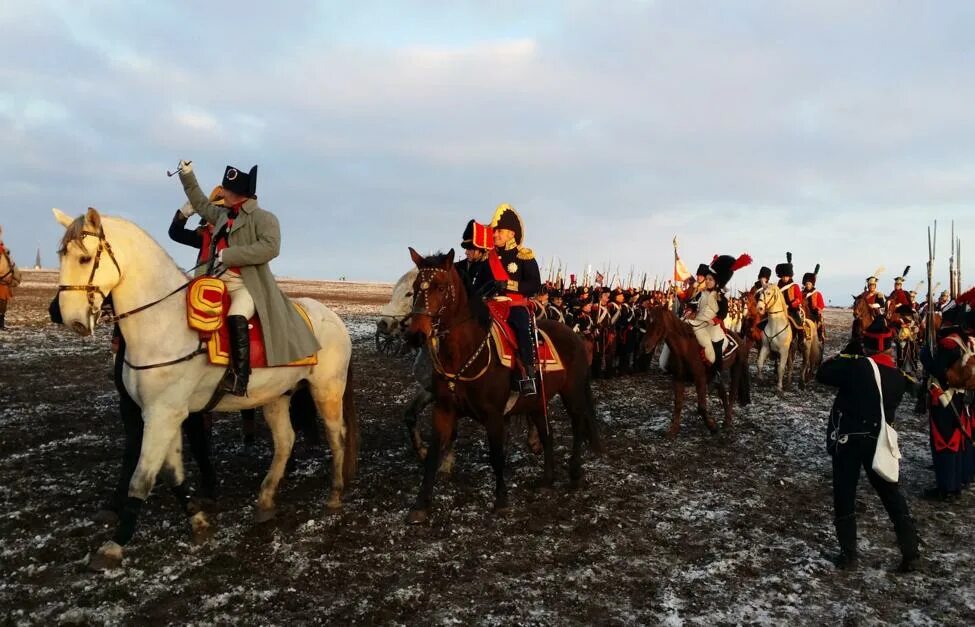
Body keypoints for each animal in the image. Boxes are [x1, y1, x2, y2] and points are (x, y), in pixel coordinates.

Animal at [54, 209, 358, 572]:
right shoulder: (167, 414)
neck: (163, 324)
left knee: (336, 436)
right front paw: (197, 520)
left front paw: (115, 544)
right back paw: (266, 499)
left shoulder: (162, 414)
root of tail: (333, 319)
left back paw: (334, 494)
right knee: (286, 441)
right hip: (275, 397)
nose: (68, 318)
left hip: (327, 390)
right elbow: (171, 473)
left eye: (85, 258)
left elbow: (142, 478)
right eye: (61, 256)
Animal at [404, 248, 604, 524]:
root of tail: (574, 335)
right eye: (415, 287)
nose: (416, 334)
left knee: (578, 425)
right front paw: (420, 505)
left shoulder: (494, 416)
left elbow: (497, 455)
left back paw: (574, 474)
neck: (464, 354)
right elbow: (433, 454)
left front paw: (501, 501)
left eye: (441, 287)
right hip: (537, 402)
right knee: (547, 433)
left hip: (572, 393)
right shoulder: (444, 410)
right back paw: (547, 480)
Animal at [644, 304, 752, 436]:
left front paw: (712, 426)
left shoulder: (700, 379)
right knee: (723, 394)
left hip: (736, 367)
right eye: (646, 322)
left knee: (732, 394)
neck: (686, 348)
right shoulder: (679, 378)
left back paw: (727, 422)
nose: (645, 346)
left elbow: (701, 407)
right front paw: (673, 430)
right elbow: (678, 403)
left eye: (658, 324)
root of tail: (739, 339)